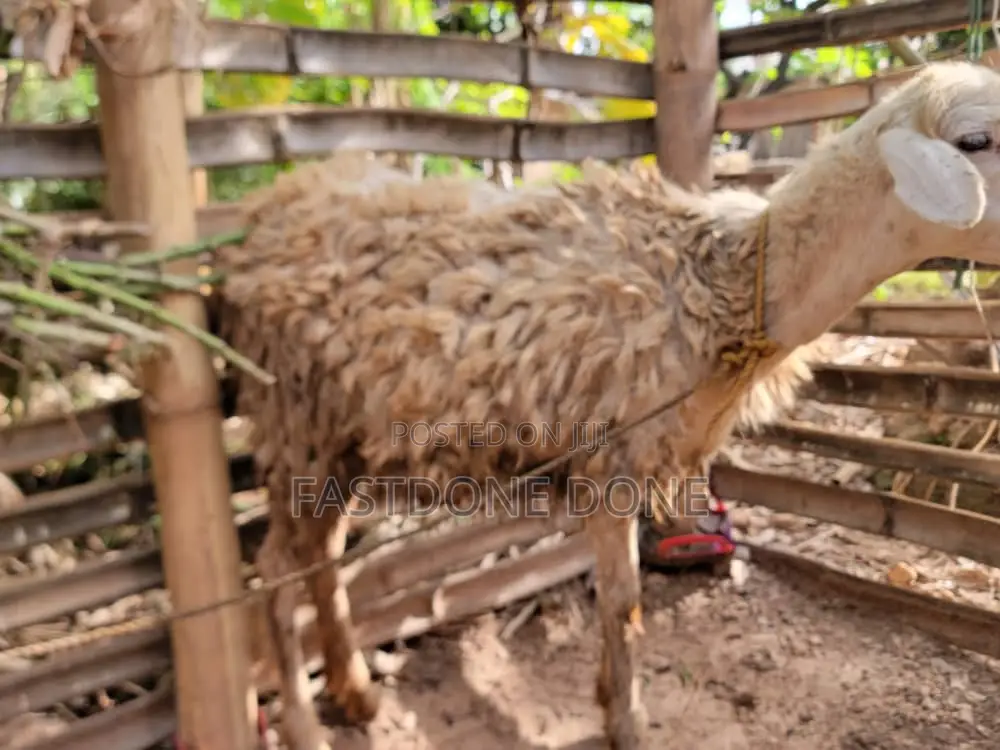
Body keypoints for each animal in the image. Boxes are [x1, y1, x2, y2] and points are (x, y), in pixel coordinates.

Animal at [216, 61, 1000, 750]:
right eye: (975, 140)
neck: (722, 281)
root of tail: (266, 208)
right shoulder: (612, 456)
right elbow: (622, 601)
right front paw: (625, 719)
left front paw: (613, 703)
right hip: (290, 412)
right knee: (276, 575)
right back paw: (307, 727)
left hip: (337, 429)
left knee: (320, 557)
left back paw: (354, 691)